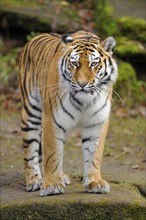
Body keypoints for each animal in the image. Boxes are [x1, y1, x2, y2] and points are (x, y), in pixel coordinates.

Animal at [19, 29, 117, 196]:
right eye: (74, 63)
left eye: (93, 64)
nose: (82, 84)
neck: (84, 101)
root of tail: (35, 37)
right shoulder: (51, 119)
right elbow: (52, 153)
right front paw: (52, 185)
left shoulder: (97, 121)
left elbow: (94, 153)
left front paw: (95, 181)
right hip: (31, 112)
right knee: (30, 150)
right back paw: (34, 180)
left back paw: (62, 176)